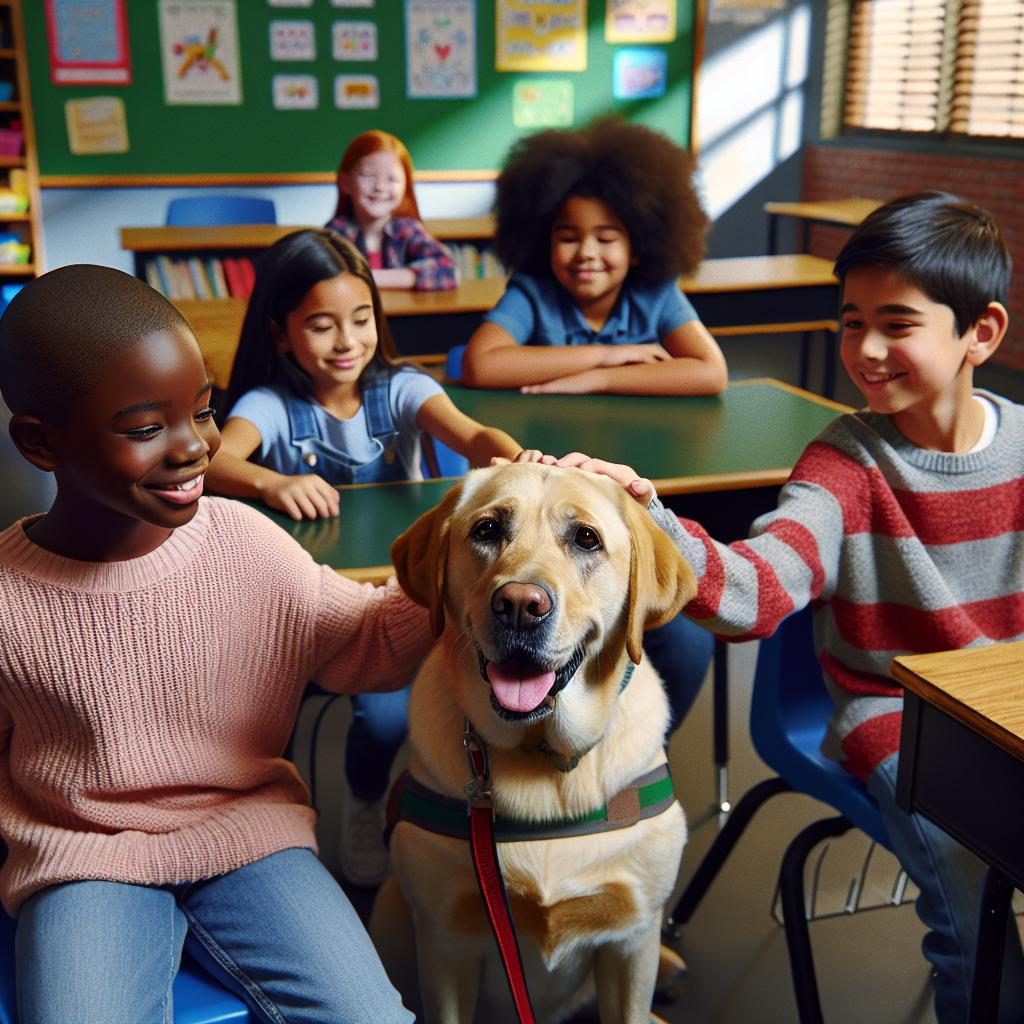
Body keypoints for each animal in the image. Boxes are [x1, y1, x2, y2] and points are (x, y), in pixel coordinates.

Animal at [372, 466, 700, 1024]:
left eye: (586, 538)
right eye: (486, 530)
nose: (521, 606)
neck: (544, 760)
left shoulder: (631, 941)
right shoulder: (445, 945)